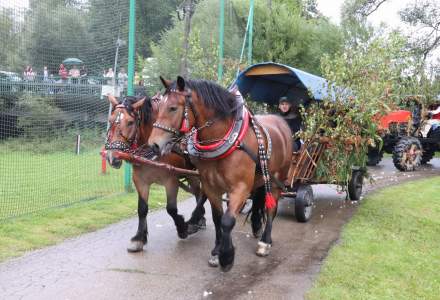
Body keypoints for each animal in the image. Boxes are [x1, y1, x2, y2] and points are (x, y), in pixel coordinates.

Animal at [104, 92, 206, 252]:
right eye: (110, 120)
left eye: (130, 122)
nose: (112, 157)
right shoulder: (140, 180)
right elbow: (142, 209)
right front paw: (139, 239)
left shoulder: (171, 180)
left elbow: (171, 209)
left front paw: (183, 228)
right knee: (198, 192)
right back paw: (199, 218)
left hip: (194, 173)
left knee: (201, 193)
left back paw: (197, 219)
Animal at [147, 77, 292, 272]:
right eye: (159, 106)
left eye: (173, 108)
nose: (153, 145)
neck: (225, 138)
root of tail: (280, 121)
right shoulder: (211, 186)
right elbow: (217, 218)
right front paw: (216, 251)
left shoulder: (240, 188)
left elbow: (227, 220)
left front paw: (227, 256)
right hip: (261, 177)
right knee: (258, 200)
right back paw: (256, 227)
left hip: (277, 180)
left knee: (271, 208)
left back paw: (265, 242)